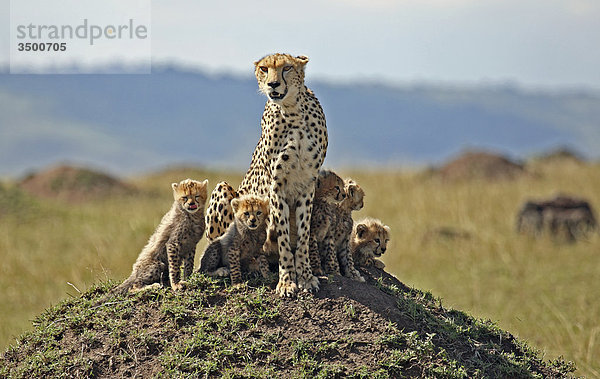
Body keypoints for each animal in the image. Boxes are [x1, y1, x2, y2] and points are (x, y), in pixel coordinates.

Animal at [206, 52, 328, 296]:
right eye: (264, 69)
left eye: (287, 68)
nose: (273, 84)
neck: (292, 110)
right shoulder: (276, 185)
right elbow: (282, 236)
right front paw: (287, 281)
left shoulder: (308, 184)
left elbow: (302, 235)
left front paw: (305, 276)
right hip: (223, 190)